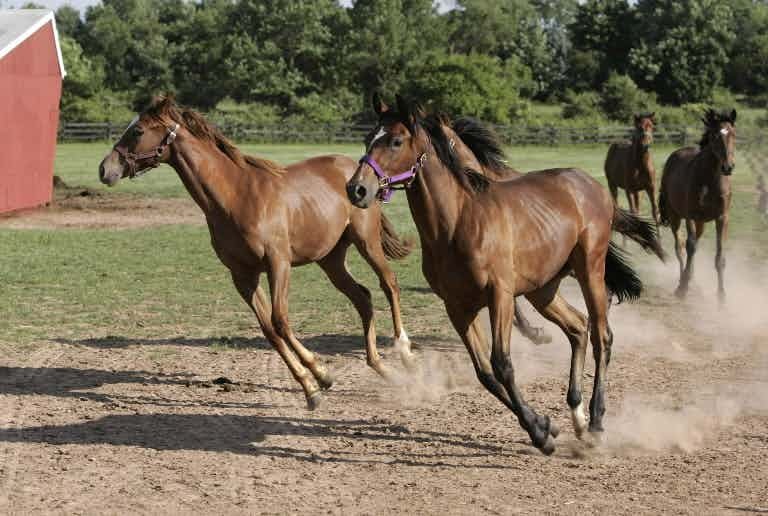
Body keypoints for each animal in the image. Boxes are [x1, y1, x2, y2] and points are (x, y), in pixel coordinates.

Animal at [100, 97, 420, 410]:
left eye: (137, 131)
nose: (105, 169)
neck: (235, 197)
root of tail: (361, 176)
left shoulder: (278, 264)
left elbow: (280, 320)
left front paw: (319, 375)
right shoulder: (243, 276)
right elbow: (269, 330)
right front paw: (314, 384)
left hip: (366, 242)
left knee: (389, 284)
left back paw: (406, 357)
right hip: (330, 260)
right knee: (363, 297)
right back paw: (381, 367)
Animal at [344, 94, 664, 454]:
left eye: (396, 141)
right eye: (367, 138)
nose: (356, 189)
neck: (456, 224)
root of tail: (593, 186)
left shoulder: (500, 295)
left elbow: (503, 364)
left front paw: (540, 435)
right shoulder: (458, 307)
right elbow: (485, 373)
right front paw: (546, 425)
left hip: (590, 270)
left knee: (601, 336)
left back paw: (595, 422)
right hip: (544, 290)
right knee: (578, 328)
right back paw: (578, 417)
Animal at [656, 110, 736, 302]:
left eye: (733, 134)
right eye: (715, 136)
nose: (728, 167)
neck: (710, 180)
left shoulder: (722, 218)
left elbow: (720, 256)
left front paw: (722, 298)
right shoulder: (691, 216)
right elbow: (690, 246)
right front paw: (682, 289)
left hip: (701, 223)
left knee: (693, 245)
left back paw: (692, 279)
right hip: (676, 216)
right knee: (681, 248)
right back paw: (683, 281)